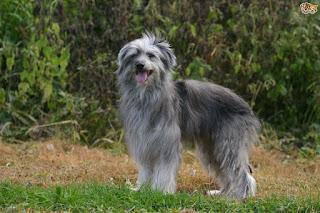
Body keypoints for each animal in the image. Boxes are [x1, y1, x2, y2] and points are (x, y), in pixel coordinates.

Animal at [115, 32, 260, 200]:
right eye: (134, 55)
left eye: (151, 55)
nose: (139, 65)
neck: (146, 95)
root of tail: (246, 105)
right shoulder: (145, 142)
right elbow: (146, 170)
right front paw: (142, 189)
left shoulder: (168, 144)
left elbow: (165, 172)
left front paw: (161, 192)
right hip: (211, 147)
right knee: (225, 171)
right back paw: (222, 193)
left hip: (230, 144)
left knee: (241, 173)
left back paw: (239, 196)